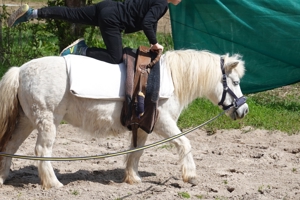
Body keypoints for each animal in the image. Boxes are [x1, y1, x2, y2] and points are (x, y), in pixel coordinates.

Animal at [0, 49, 248, 189]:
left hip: (27, 121)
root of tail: (20, 70)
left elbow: (136, 152)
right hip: (47, 121)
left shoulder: (143, 127)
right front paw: (191, 176)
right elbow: (185, 143)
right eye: (235, 82)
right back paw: (53, 183)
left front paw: (133, 177)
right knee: (42, 150)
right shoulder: (163, 124)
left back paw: (3, 177)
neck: (169, 79)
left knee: (11, 146)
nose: (243, 110)